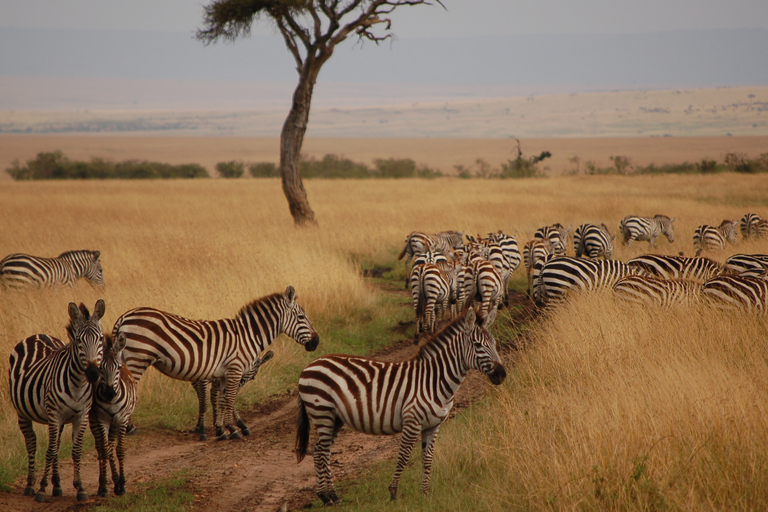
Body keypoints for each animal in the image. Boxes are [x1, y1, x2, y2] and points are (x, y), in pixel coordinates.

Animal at [9, 298, 106, 502]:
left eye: (101, 339)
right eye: (79, 341)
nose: (93, 374)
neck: (78, 384)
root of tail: (38, 334)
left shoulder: (81, 416)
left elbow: (75, 451)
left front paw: (80, 488)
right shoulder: (55, 414)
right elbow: (51, 450)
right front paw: (41, 489)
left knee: (56, 443)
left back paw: (57, 485)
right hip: (23, 412)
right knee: (31, 443)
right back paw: (30, 485)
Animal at [89, 332, 137, 496]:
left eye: (118, 367)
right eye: (101, 368)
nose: (110, 393)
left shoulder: (122, 419)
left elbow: (119, 450)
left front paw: (121, 484)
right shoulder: (101, 419)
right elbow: (105, 450)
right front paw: (104, 486)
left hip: (115, 422)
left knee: (111, 445)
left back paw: (116, 482)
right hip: (95, 421)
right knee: (102, 447)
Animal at [113, 284, 318, 440]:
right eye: (301, 317)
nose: (316, 342)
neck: (249, 335)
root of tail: (124, 316)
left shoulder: (223, 374)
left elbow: (221, 400)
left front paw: (221, 430)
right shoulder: (235, 369)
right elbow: (229, 399)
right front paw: (233, 429)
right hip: (137, 358)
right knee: (128, 389)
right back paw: (129, 427)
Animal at [296, 308, 508, 504]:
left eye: (494, 343)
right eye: (478, 344)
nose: (502, 374)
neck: (434, 380)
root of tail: (310, 364)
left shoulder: (433, 425)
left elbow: (427, 458)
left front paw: (425, 493)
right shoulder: (412, 422)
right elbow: (404, 456)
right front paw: (393, 492)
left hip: (335, 418)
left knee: (319, 451)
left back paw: (326, 496)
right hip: (322, 412)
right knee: (323, 452)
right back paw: (330, 495)